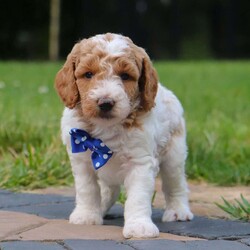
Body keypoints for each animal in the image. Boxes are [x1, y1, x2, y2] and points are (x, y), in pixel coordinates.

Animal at [55, 33, 193, 238]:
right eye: (88, 74)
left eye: (125, 76)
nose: (105, 102)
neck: (106, 130)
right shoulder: (81, 160)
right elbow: (87, 189)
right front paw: (87, 215)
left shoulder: (140, 162)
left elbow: (138, 197)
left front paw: (139, 226)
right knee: (109, 190)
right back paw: (101, 207)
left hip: (174, 155)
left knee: (176, 184)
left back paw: (178, 211)